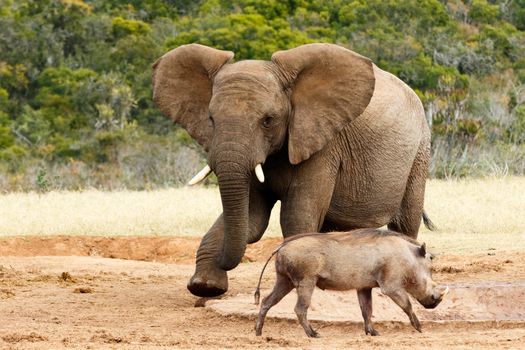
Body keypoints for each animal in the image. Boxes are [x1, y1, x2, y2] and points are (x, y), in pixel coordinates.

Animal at [154, 42, 432, 296]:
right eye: (211, 119)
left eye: (268, 120)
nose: (224, 262)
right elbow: (253, 219)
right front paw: (205, 287)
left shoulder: (323, 144)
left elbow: (296, 215)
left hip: (419, 152)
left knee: (405, 222)